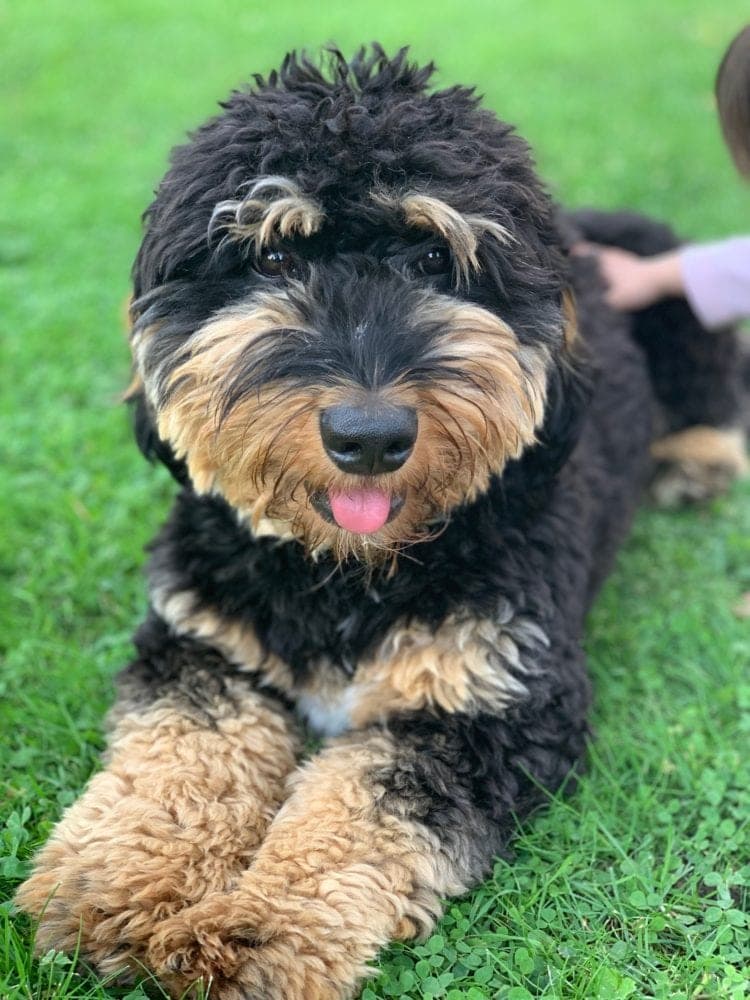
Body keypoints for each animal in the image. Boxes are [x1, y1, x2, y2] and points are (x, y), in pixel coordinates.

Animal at [16, 45, 748, 1000]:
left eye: (436, 256)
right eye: (271, 258)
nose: (368, 436)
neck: (344, 570)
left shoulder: (495, 705)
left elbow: (355, 811)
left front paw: (254, 933)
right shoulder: (201, 648)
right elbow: (179, 758)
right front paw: (117, 883)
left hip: (678, 300)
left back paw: (697, 459)